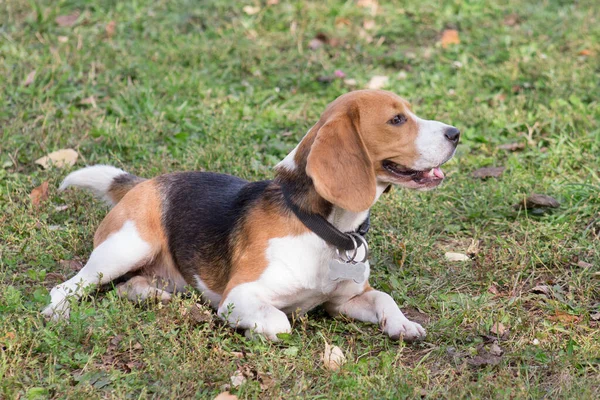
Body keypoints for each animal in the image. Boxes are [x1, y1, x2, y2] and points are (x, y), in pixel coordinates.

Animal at [43, 90, 460, 340]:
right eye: (396, 120)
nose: (456, 132)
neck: (322, 228)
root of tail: (145, 183)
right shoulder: (239, 295)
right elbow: (281, 321)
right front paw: (256, 329)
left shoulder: (347, 299)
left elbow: (384, 297)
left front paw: (403, 324)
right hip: (127, 246)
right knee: (67, 287)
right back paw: (58, 313)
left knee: (129, 286)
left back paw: (157, 296)